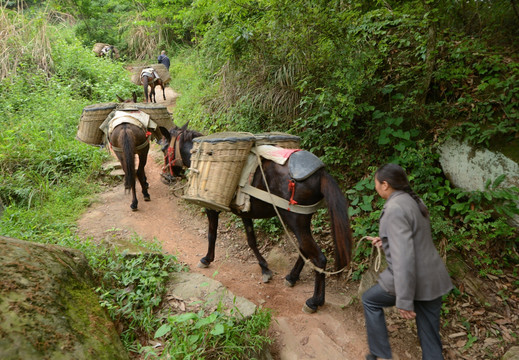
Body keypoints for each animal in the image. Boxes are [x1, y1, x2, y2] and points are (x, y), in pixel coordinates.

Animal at [159, 124, 354, 312]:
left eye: (163, 149)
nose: (165, 177)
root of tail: (320, 173)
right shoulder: (244, 212)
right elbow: (251, 240)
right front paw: (265, 268)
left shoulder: (211, 207)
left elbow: (212, 234)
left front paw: (206, 259)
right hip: (302, 220)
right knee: (304, 249)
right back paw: (292, 277)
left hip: (295, 220)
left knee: (319, 257)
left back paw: (314, 301)